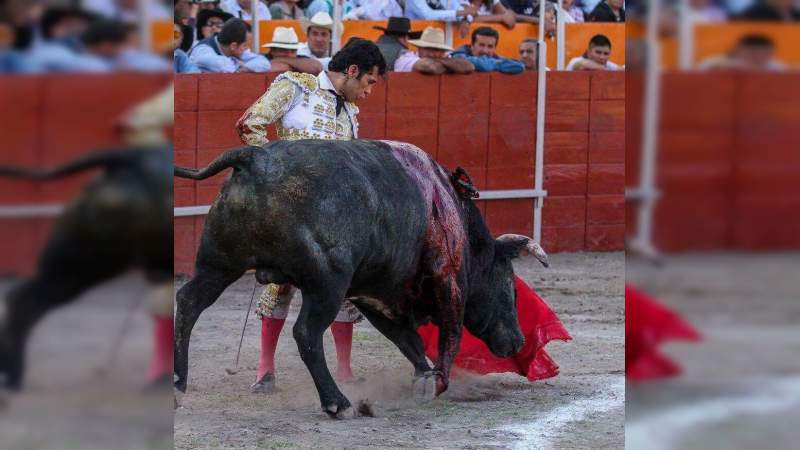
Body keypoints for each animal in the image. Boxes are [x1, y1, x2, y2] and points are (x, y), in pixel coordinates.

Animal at [173, 140, 552, 418]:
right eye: (510, 287)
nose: (518, 341)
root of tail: (256, 158)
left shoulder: (374, 295)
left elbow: (408, 341)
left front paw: (424, 377)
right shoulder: (448, 281)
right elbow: (449, 336)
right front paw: (438, 382)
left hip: (219, 265)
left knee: (188, 304)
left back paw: (177, 387)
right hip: (327, 284)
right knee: (306, 332)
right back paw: (338, 403)